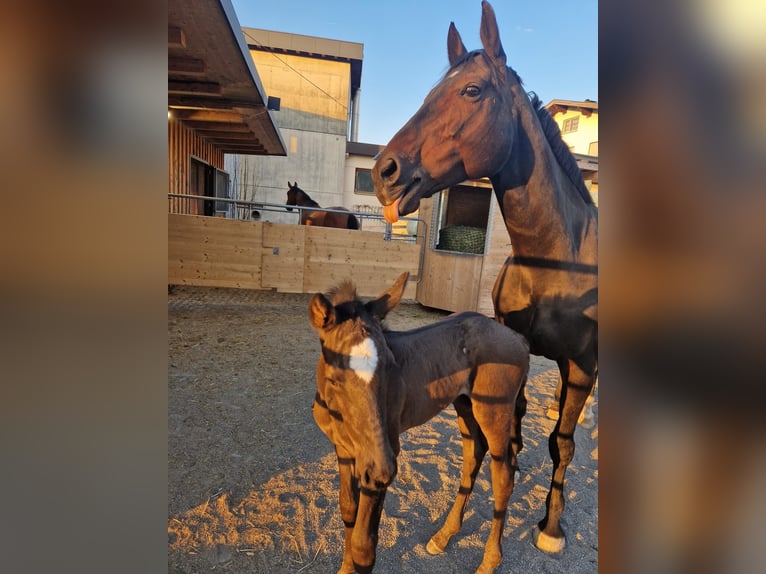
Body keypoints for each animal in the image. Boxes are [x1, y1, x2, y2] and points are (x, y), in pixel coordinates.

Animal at [310, 272, 529, 574]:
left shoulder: (384, 452)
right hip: (464, 404)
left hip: (494, 411)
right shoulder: (343, 449)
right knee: (473, 455)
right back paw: (443, 536)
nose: (382, 471)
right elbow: (347, 509)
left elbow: (364, 546)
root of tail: (519, 338)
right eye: (334, 377)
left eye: (391, 366)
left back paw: (489, 561)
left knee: (503, 475)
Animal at [371, 1, 598, 555]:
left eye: (472, 90)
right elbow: (510, 437)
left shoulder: (582, 366)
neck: (559, 263)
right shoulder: (513, 353)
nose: (384, 171)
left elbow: (562, 443)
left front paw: (551, 527)